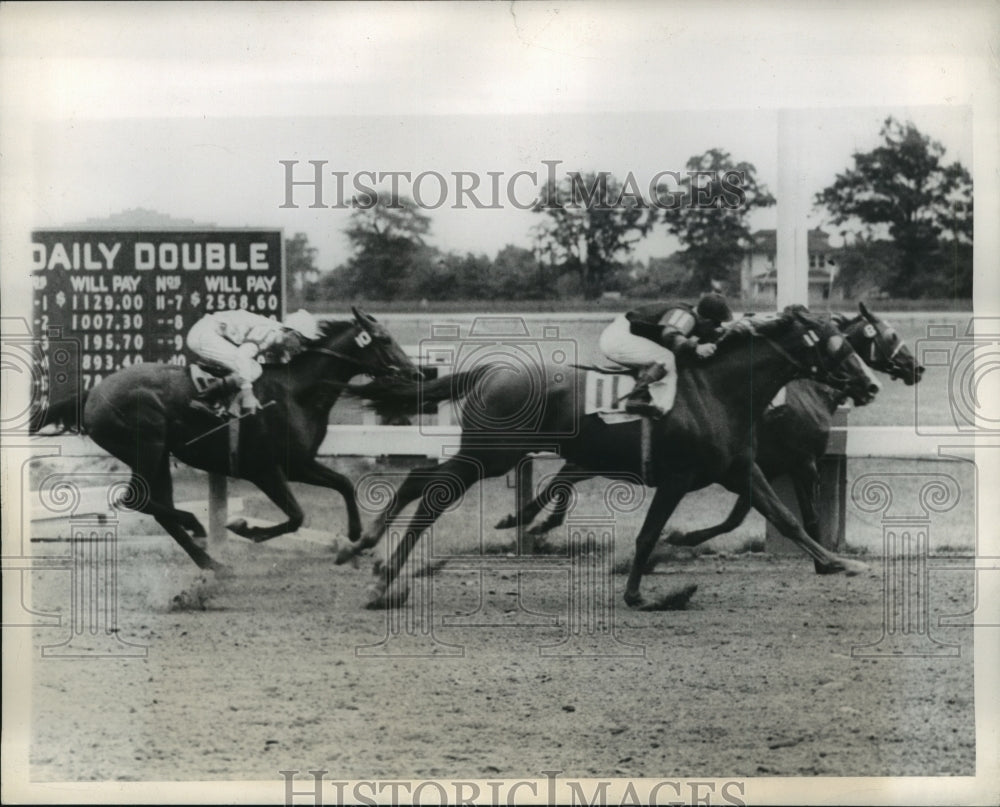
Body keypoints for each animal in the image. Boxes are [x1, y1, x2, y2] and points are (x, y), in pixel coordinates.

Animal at [28, 306, 418, 576]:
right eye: (384, 340)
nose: (416, 371)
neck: (298, 392)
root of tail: (93, 392)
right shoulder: (265, 469)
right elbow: (296, 516)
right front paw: (245, 528)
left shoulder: (299, 464)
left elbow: (344, 484)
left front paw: (354, 539)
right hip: (146, 447)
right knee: (136, 500)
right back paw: (197, 525)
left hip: (158, 456)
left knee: (156, 507)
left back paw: (211, 561)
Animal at [340, 306, 880, 608]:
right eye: (836, 344)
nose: (871, 385)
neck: (716, 392)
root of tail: (490, 371)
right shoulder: (678, 477)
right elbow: (647, 535)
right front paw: (638, 593)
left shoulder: (738, 469)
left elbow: (785, 516)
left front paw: (838, 563)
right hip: (492, 454)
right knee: (433, 494)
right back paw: (382, 579)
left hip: (486, 454)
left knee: (417, 477)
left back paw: (364, 548)